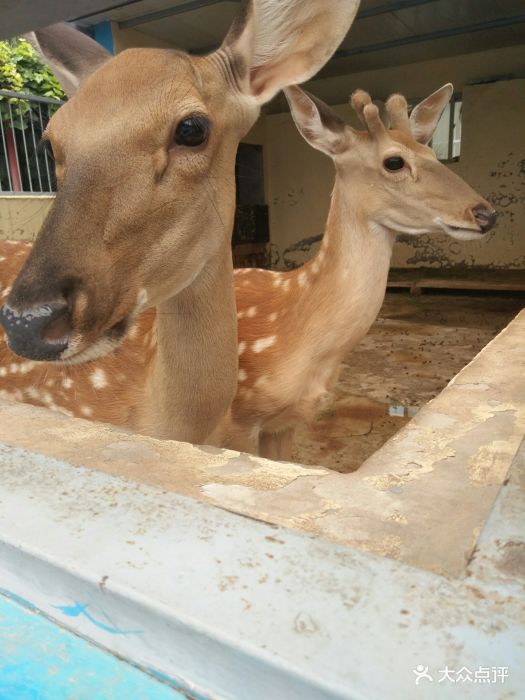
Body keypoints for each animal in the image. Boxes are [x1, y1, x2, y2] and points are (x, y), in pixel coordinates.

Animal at [0, 85, 496, 464]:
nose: (486, 213)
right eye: (394, 162)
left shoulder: (287, 422)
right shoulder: (238, 422)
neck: (301, 334)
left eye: (431, 152)